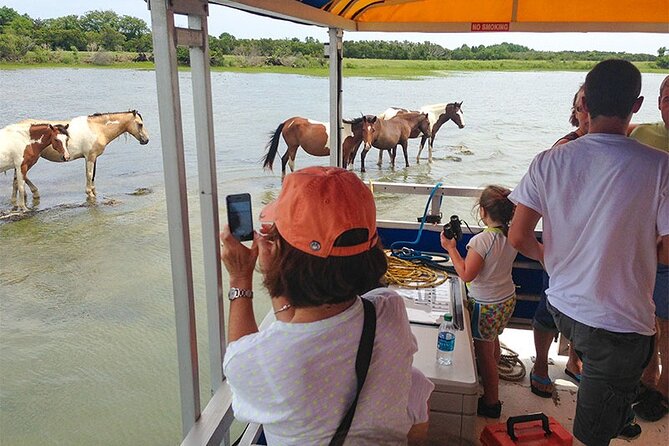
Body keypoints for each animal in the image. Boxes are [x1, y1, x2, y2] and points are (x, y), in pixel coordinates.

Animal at [18, 110, 149, 201]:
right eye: (140, 124)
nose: (146, 140)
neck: (97, 128)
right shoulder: (90, 157)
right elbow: (89, 174)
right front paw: (89, 193)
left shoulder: (94, 157)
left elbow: (93, 175)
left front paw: (93, 191)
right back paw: (34, 192)